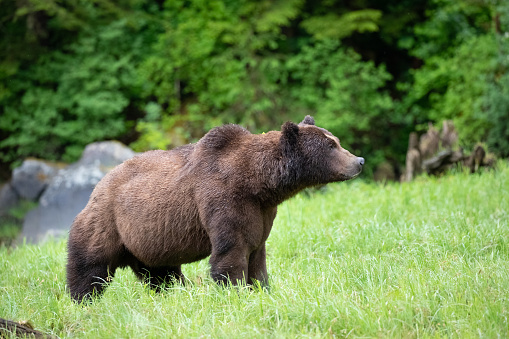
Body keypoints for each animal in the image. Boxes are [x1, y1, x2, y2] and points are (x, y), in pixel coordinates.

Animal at [66, 115, 362, 302]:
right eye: (331, 145)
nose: (359, 160)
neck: (259, 184)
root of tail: (99, 183)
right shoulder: (223, 199)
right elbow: (231, 252)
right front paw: (235, 292)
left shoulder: (262, 212)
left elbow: (257, 254)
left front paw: (263, 289)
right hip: (111, 220)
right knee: (91, 263)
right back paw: (83, 300)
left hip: (148, 238)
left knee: (160, 273)